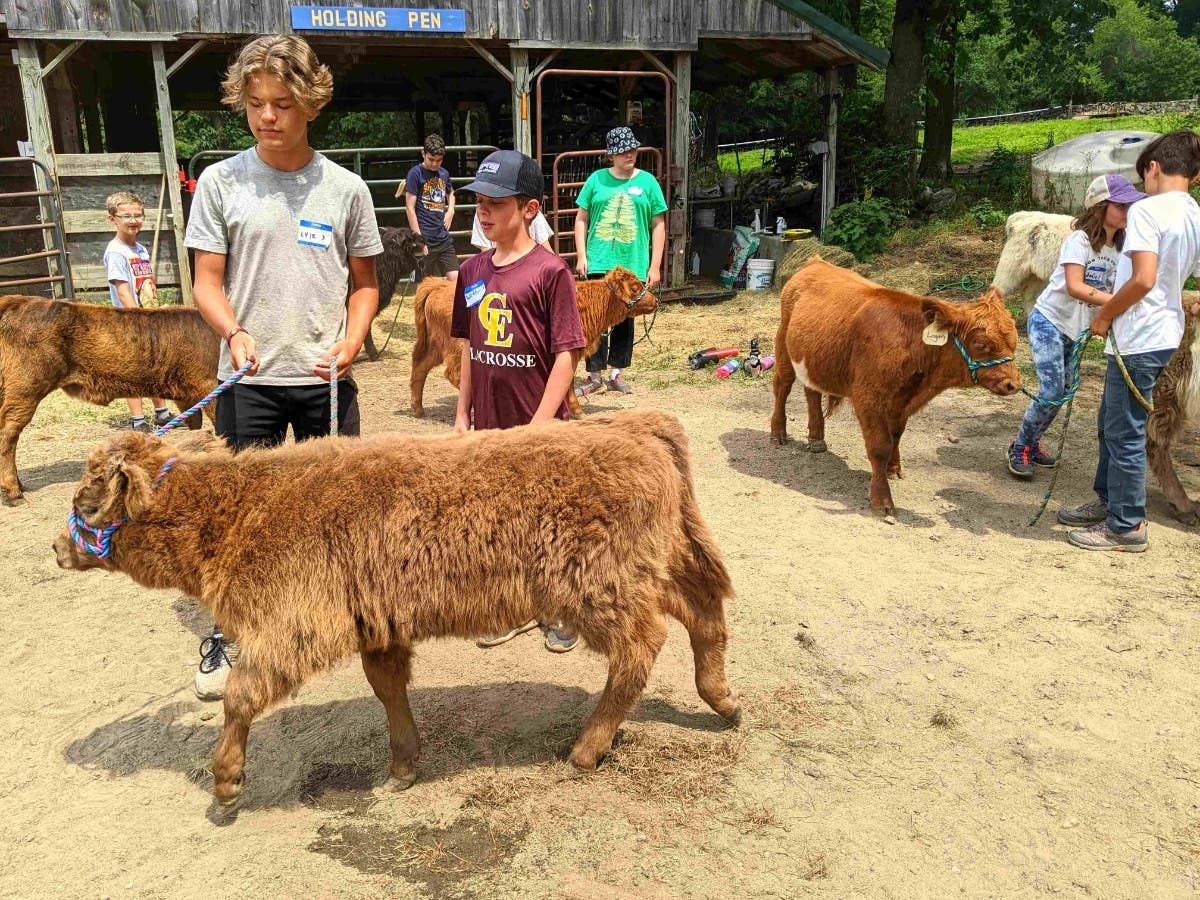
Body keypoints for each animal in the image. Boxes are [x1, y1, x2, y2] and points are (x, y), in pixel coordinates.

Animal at [0, 297, 219, 505]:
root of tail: (18, 301)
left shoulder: (189, 397)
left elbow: (196, 425)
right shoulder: (208, 384)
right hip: (26, 387)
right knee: (8, 433)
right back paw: (14, 493)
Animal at [53, 410, 739, 810]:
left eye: (87, 503)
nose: (59, 547)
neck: (238, 510)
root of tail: (634, 426)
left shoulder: (291, 624)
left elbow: (241, 696)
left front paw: (225, 784)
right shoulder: (375, 624)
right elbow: (388, 688)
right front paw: (403, 766)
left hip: (600, 586)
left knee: (643, 644)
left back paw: (589, 747)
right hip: (651, 564)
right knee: (703, 609)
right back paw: (722, 700)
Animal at [408, 266, 657, 419]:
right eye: (635, 287)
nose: (655, 300)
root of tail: (437, 285)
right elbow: (567, 384)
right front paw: (577, 412)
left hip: (434, 344)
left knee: (420, 367)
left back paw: (418, 408)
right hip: (459, 347)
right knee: (455, 374)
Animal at [770, 258, 1021, 518]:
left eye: (1015, 341)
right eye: (981, 345)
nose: (1013, 384)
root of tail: (816, 261)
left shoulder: (902, 403)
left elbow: (896, 437)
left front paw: (893, 467)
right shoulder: (868, 398)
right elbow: (880, 445)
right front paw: (882, 500)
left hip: (812, 357)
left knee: (812, 391)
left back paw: (816, 438)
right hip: (784, 345)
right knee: (782, 386)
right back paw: (778, 433)